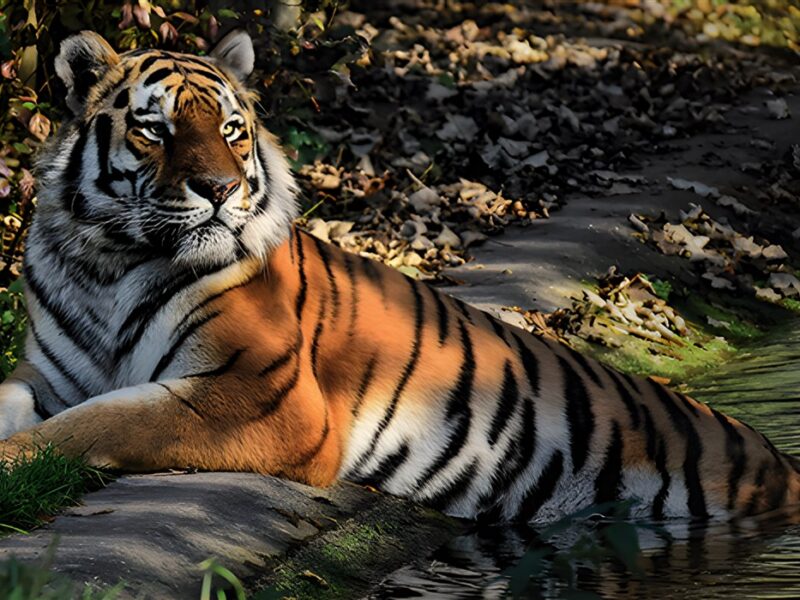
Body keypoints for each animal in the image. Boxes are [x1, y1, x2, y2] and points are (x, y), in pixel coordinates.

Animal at [0, 29, 797, 524]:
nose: (220, 190)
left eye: (229, 130)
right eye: (154, 129)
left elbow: (101, 420)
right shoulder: (49, 377)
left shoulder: (258, 396)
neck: (108, 262)